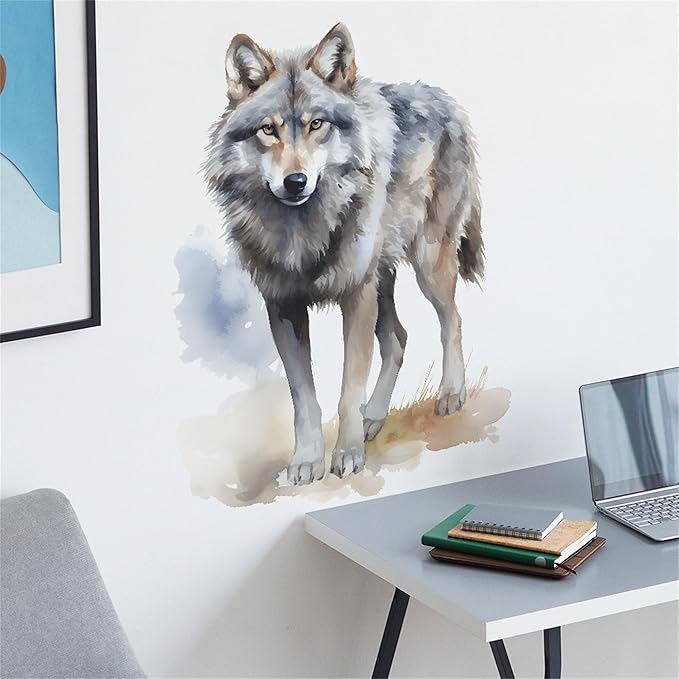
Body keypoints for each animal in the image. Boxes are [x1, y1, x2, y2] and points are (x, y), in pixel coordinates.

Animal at [205, 23, 484, 486]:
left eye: (316, 124)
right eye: (268, 130)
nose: (296, 181)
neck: (301, 231)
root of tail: (444, 99)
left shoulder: (355, 296)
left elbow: (347, 391)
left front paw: (348, 454)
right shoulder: (283, 307)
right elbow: (304, 398)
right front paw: (306, 461)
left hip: (426, 266)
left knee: (454, 321)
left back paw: (449, 394)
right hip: (382, 279)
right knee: (398, 339)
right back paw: (376, 416)